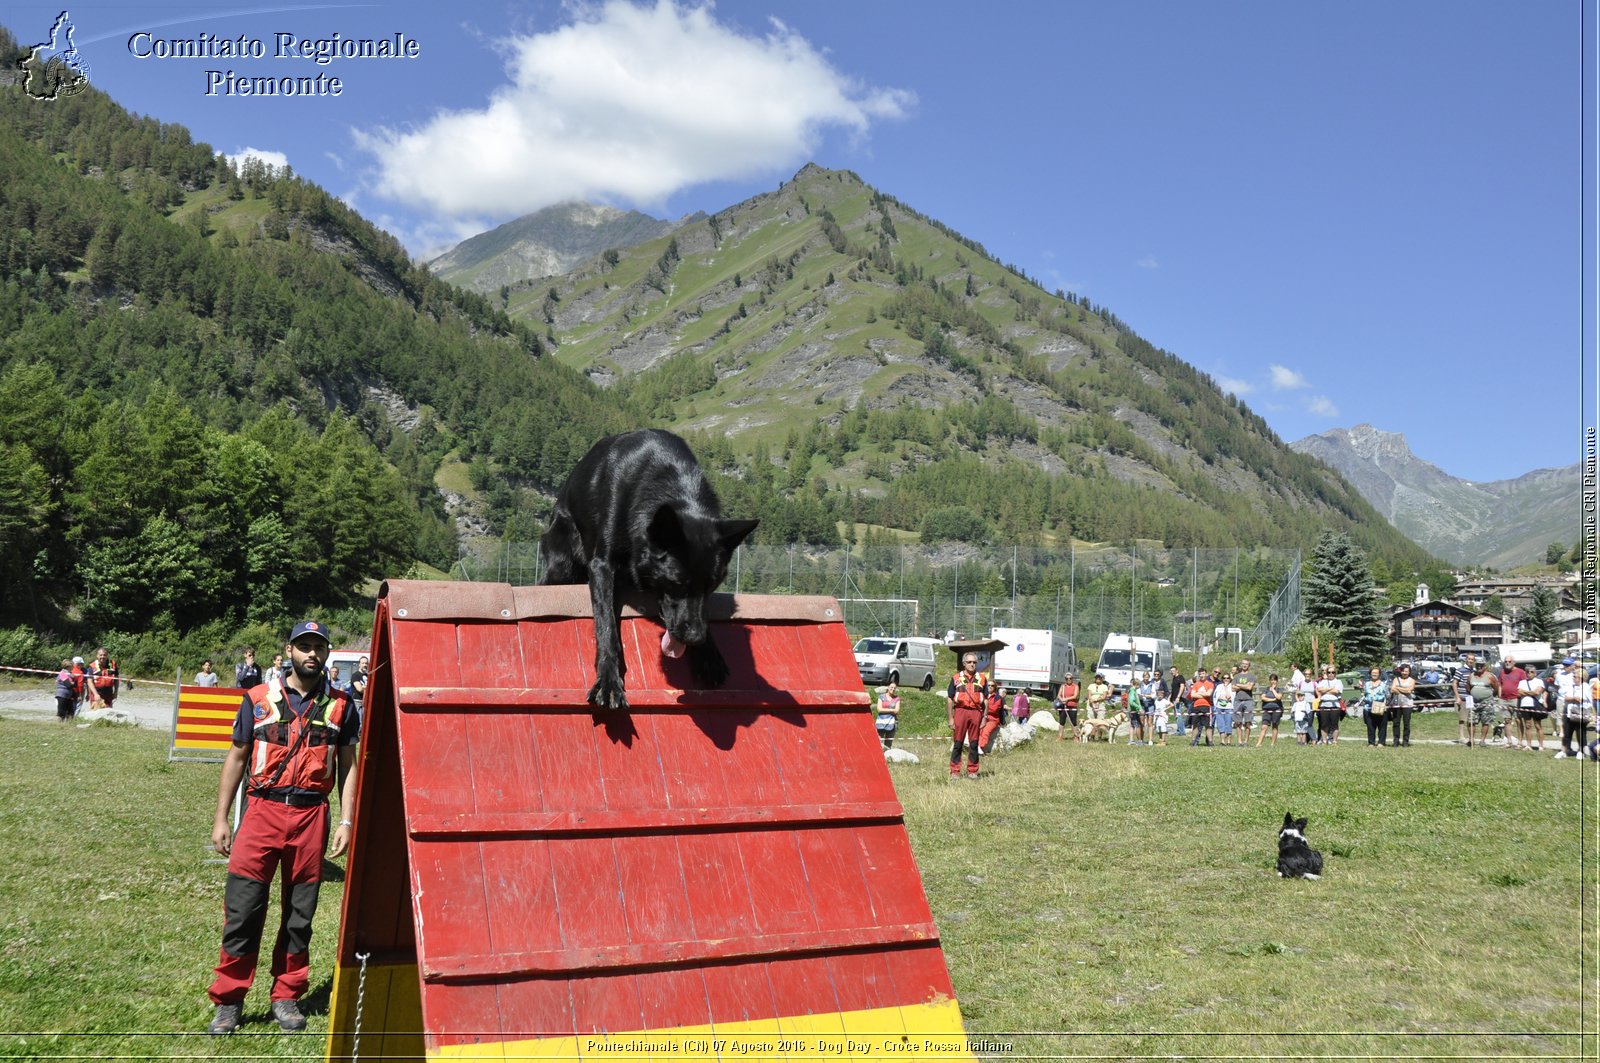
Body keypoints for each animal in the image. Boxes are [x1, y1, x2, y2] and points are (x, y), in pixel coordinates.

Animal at [540, 429, 758, 710]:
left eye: (712, 586)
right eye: (677, 583)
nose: (696, 638)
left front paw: (709, 653)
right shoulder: (601, 565)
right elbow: (606, 625)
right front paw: (608, 683)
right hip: (562, 563)